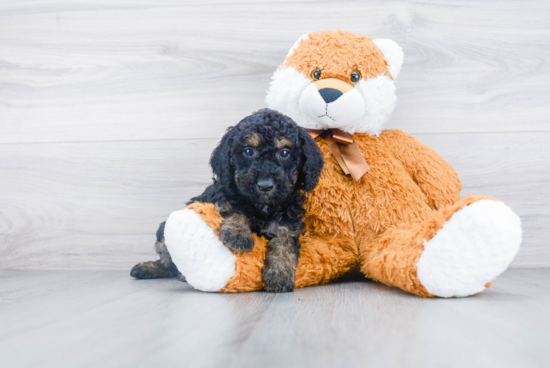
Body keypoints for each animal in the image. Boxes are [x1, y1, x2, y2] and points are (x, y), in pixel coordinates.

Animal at [132, 108, 326, 292]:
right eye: (248, 151)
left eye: (284, 153)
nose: (265, 185)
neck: (262, 206)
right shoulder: (222, 196)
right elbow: (234, 208)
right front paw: (237, 234)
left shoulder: (289, 220)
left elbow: (284, 241)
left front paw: (280, 273)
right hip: (163, 229)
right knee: (168, 260)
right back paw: (150, 268)